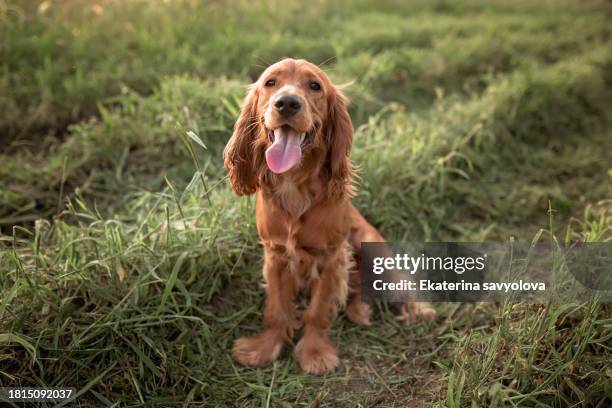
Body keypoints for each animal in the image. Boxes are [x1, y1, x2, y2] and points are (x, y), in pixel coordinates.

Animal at [222, 57, 432, 372]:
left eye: (314, 86)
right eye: (271, 82)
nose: (287, 103)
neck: (295, 186)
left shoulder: (332, 258)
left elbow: (318, 310)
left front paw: (315, 353)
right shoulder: (275, 255)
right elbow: (276, 309)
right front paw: (264, 348)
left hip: (374, 248)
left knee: (401, 282)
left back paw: (417, 309)